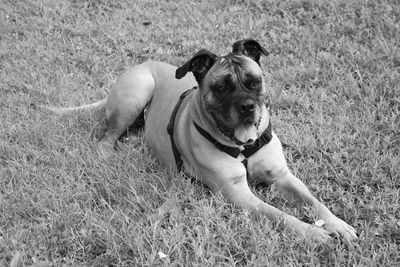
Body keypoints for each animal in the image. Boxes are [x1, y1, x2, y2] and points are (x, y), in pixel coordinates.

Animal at [45, 39, 358, 243]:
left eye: (254, 82)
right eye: (221, 88)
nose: (247, 107)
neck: (243, 148)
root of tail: (141, 65)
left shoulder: (283, 177)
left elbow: (315, 202)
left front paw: (338, 225)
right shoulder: (238, 195)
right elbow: (281, 216)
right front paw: (314, 233)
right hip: (136, 94)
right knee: (106, 137)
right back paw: (108, 154)